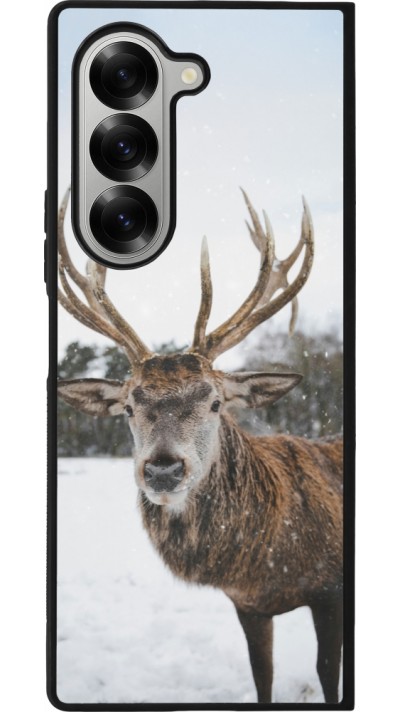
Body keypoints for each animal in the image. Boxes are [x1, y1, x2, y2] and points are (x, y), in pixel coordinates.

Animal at [57, 187, 343, 704]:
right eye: (128, 406)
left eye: (214, 402)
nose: (163, 470)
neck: (268, 562)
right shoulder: (248, 605)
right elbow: (262, 677)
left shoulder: (331, 589)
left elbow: (328, 675)